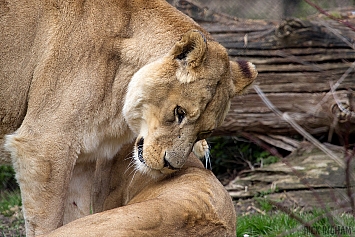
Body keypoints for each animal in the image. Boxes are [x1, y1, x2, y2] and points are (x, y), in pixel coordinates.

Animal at [0, 0, 256, 235]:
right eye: (179, 112)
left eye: (205, 131)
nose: (171, 166)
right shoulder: (44, 146)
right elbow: (46, 222)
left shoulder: (80, 160)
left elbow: (72, 210)